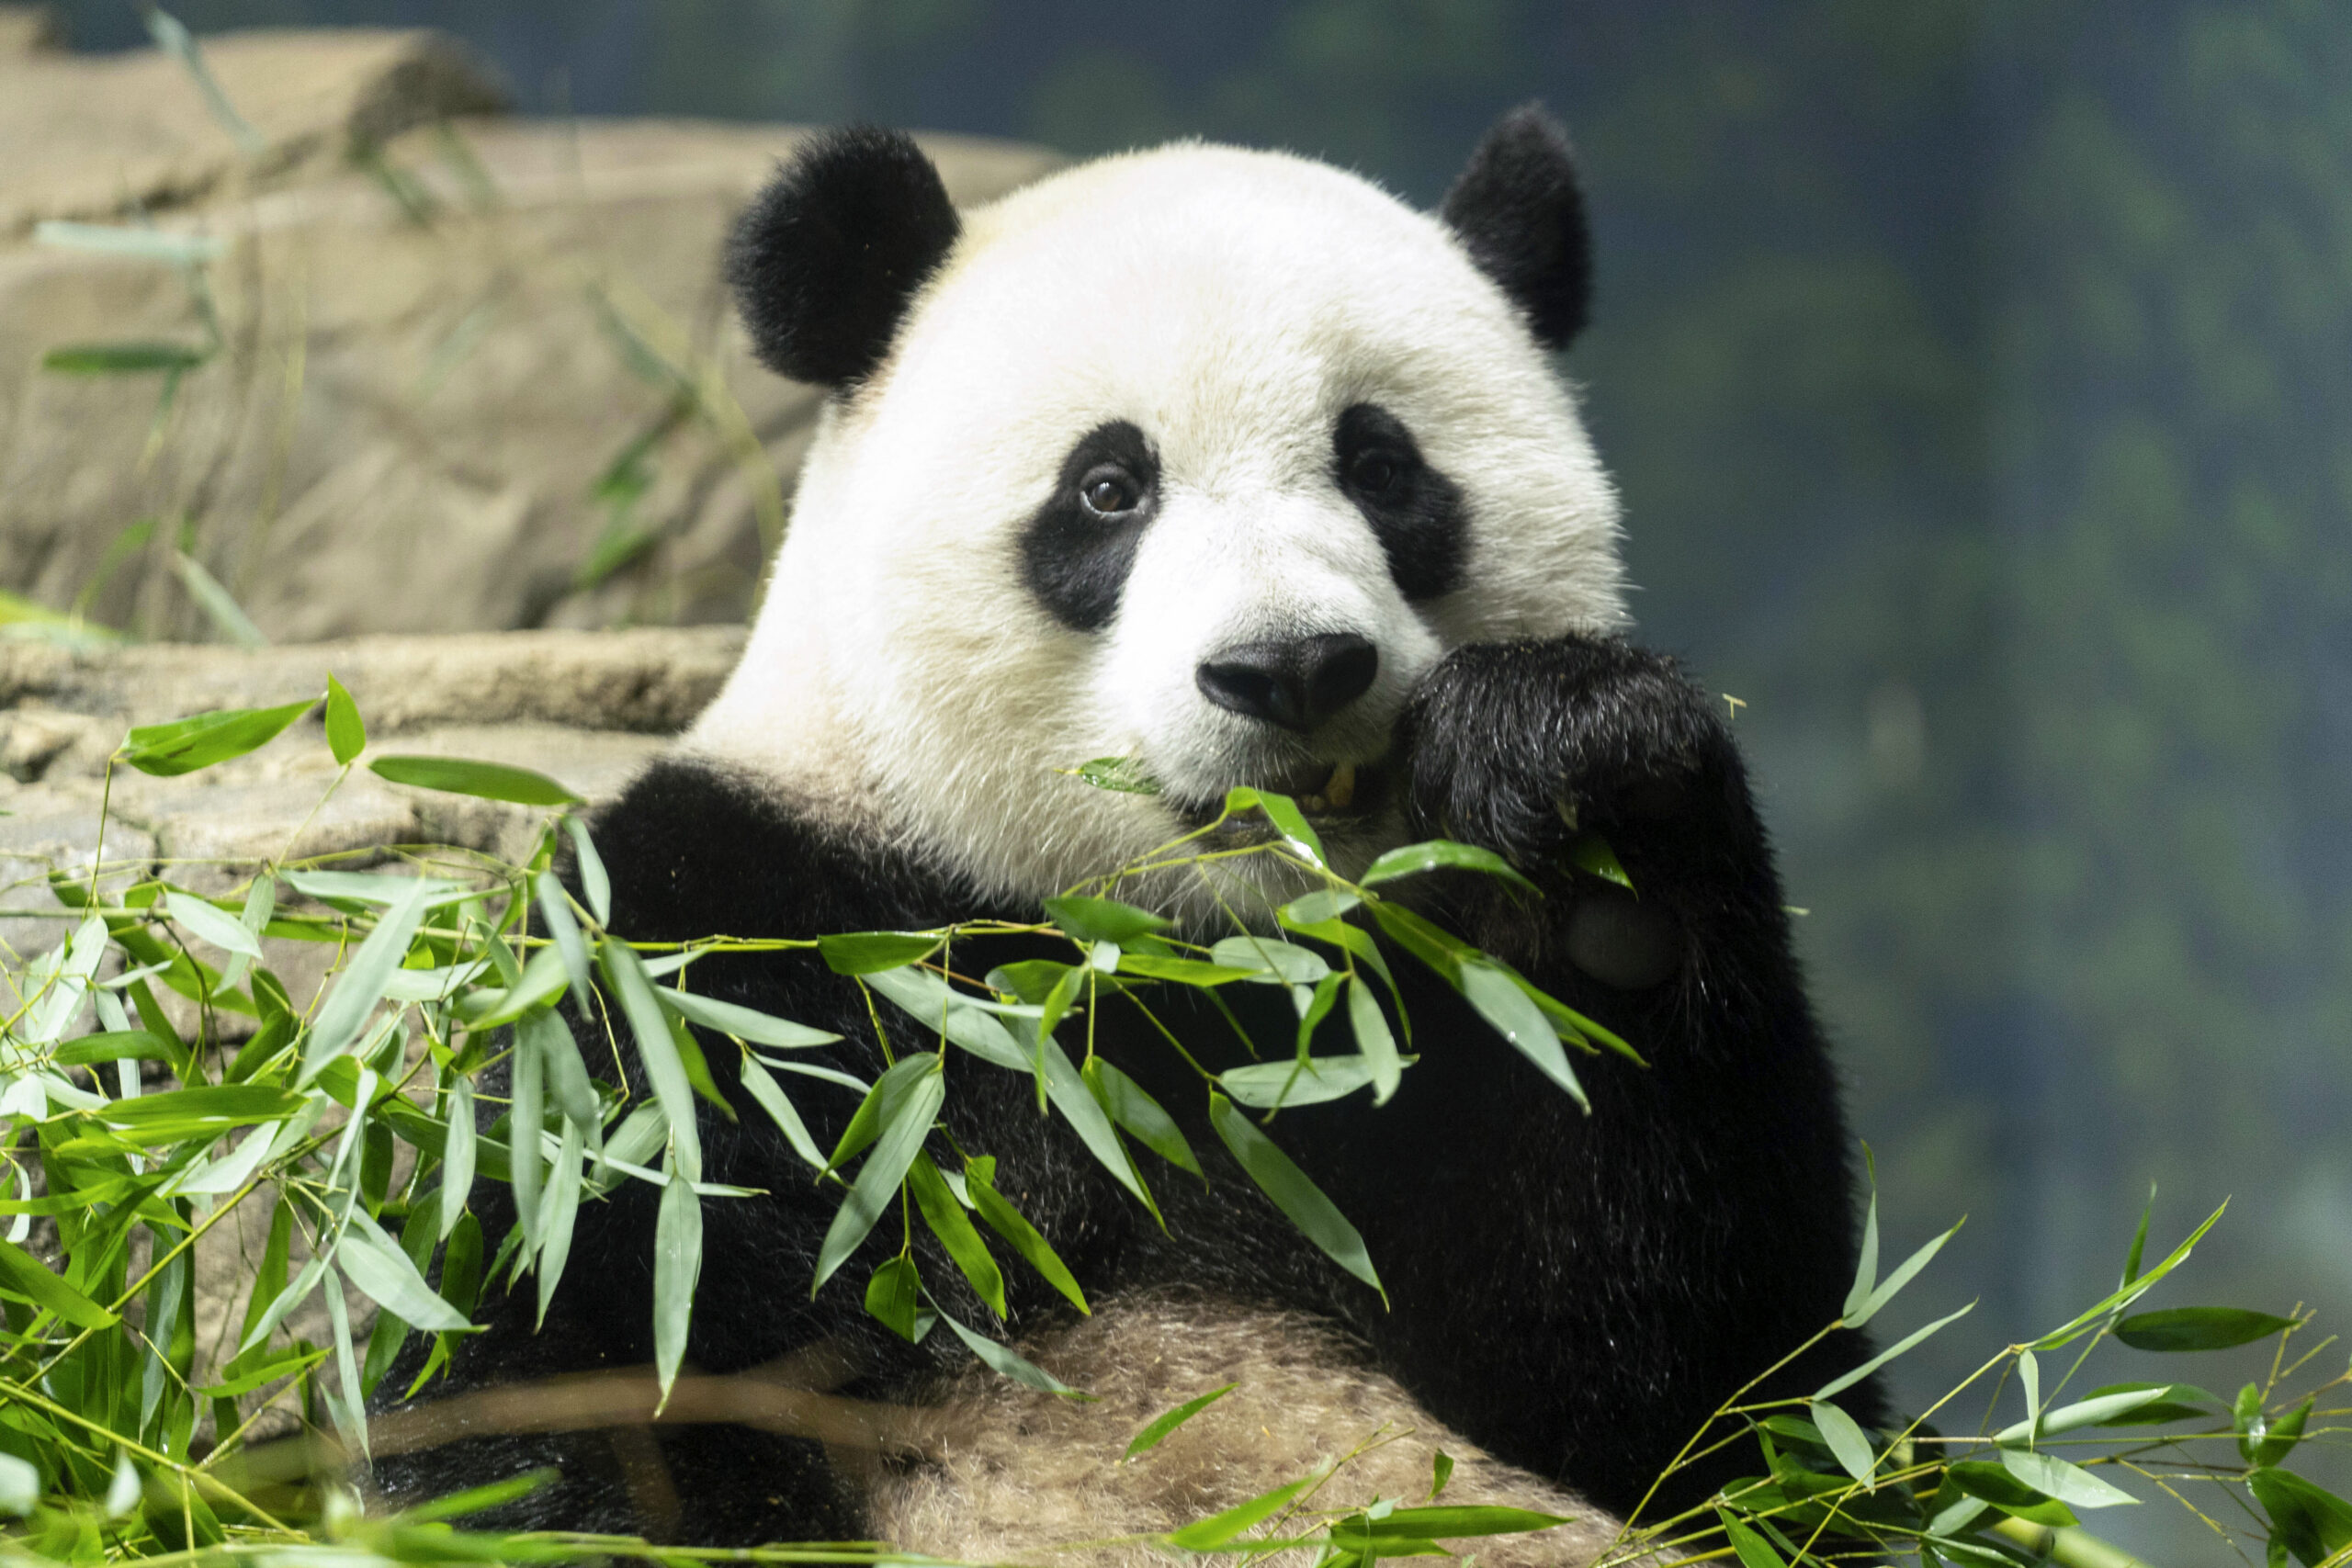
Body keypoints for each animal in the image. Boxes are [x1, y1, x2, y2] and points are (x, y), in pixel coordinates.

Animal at [372, 108, 1882, 1561]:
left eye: (1381, 464)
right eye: (1108, 487)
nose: (1290, 669)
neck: (1155, 950)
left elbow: (1699, 1388)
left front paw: (1571, 781)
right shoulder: (720, 965)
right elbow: (570, 1349)